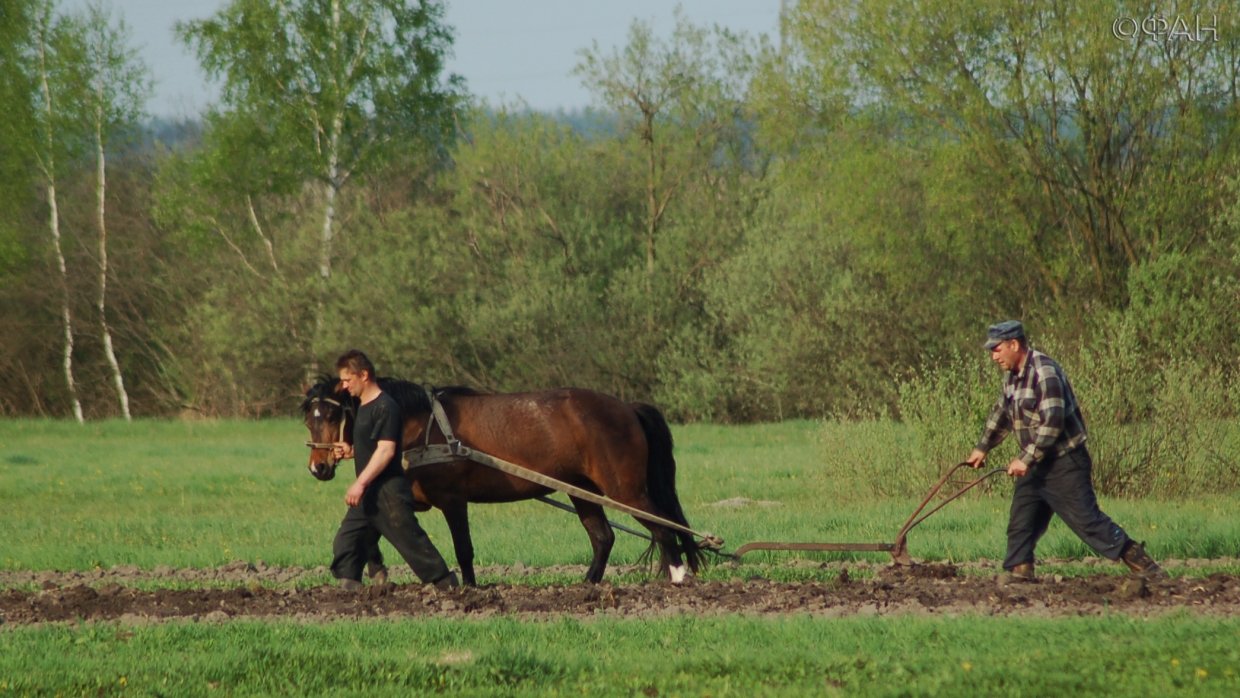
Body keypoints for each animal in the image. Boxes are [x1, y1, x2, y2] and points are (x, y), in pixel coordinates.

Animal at [301, 376, 704, 585]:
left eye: (333, 414)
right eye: (308, 417)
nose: (318, 467)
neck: (419, 426)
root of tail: (626, 408)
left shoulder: (452, 499)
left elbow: (463, 548)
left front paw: (469, 588)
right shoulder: (411, 496)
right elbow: (373, 528)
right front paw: (376, 572)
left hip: (625, 490)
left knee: (662, 527)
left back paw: (678, 578)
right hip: (584, 492)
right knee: (604, 537)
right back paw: (587, 586)